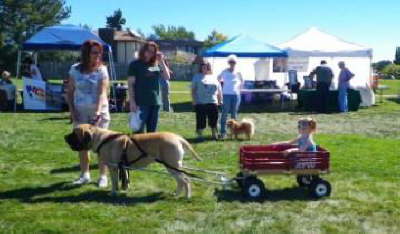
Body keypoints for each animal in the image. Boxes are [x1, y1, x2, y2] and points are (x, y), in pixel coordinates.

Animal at [67, 123, 203, 198]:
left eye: (74, 133)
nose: (64, 137)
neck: (100, 138)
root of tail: (178, 138)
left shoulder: (113, 167)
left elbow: (114, 182)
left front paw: (113, 193)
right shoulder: (122, 167)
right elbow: (124, 179)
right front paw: (124, 188)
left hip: (171, 166)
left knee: (186, 180)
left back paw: (186, 196)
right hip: (172, 167)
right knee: (181, 181)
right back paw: (177, 194)